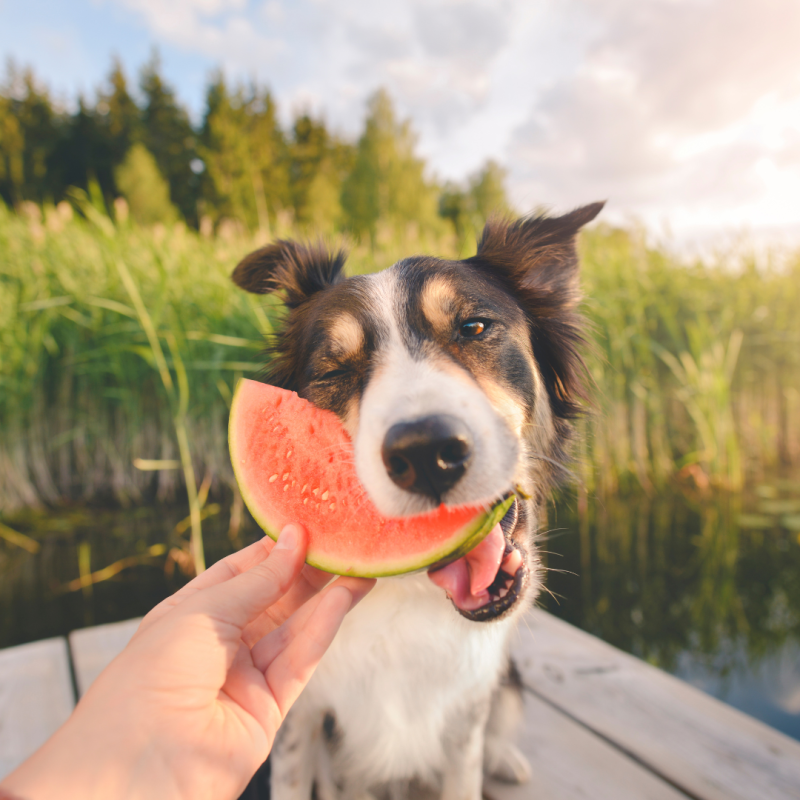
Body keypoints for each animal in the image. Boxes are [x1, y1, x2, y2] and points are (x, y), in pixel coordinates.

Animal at [230, 202, 600, 800]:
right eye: (335, 369)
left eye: (474, 328)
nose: (426, 452)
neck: (408, 595)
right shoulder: (298, 718)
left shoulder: (466, 718)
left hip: (507, 683)